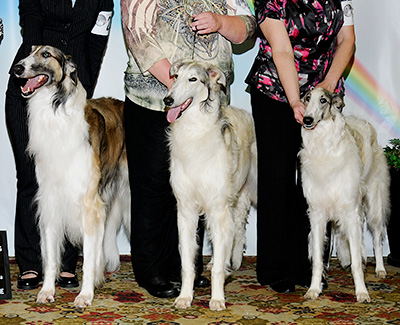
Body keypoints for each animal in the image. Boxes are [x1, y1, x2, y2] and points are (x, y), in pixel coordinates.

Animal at [13, 45, 130, 306]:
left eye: (46, 54)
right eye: (30, 50)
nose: (16, 68)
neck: (56, 114)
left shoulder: (89, 204)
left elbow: (87, 260)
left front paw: (85, 295)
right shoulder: (51, 201)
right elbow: (50, 257)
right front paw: (46, 291)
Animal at [164, 59, 258, 310]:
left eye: (193, 79)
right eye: (175, 76)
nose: (168, 100)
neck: (195, 133)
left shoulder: (217, 206)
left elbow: (217, 267)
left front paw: (217, 299)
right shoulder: (186, 209)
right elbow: (187, 262)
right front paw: (184, 297)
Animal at [300, 86, 390, 302]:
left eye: (323, 100)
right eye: (307, 98)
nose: (307, 120)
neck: (324, 148)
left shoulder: (351, 212)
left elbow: (357, 262)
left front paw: (362, 293)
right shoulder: (317, 214)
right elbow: (318, 259)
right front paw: (313, 289)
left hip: (374, 204)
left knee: (377, 237)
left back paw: (380, 269)